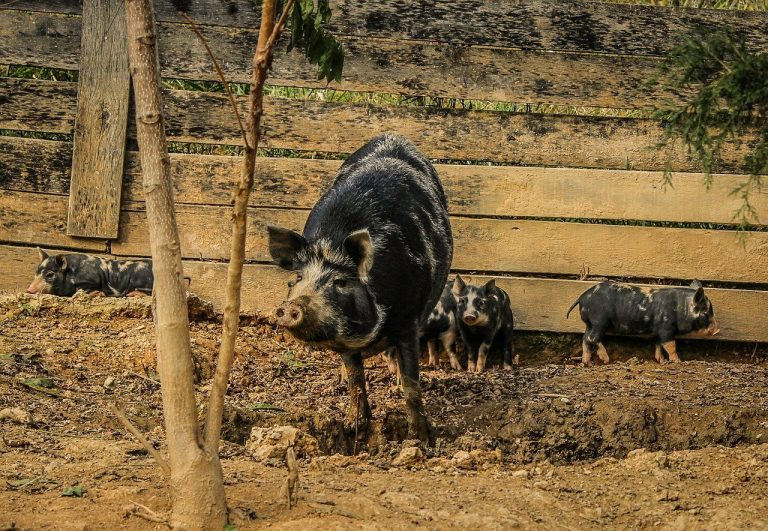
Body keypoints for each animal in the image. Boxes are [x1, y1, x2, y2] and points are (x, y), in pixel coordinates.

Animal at [267, 134, 453, 444]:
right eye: (297, 277)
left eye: (341, 282)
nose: (292, 306)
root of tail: (392, 135)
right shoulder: (346, 342)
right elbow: (356, 381)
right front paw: (356, 428)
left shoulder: (408, 320)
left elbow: (412, 384)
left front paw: (421, 439)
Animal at [566, 280, 719, 365]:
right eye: (705, 312)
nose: (717, 330)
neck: (681, 307)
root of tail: (582, 297)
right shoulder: (666, 328)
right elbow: (671, 346)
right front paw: (678, 361)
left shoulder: (658, 331)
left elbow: (658, 344)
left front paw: (661, 361)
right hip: (599, 322)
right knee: (592, 338)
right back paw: (604, 360)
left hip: (590, 324)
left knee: (585, 337)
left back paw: (587, 362)